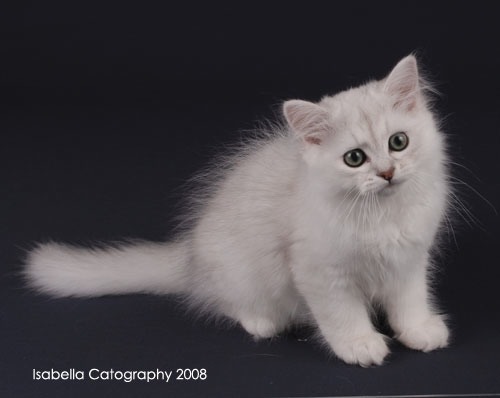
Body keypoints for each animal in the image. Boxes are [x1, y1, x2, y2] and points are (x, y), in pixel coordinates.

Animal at [25, 56, 452, 366]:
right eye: (354, 158)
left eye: (398, 142)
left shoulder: (409, 261)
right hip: (242, 273)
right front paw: (360, 345)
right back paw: (263, 322)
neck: (383, 215)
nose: (387, 172)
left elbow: (410, 301)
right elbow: (341, 313)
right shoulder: (320, 271)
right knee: (229, 303)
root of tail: (188, 258)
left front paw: (419, 331)